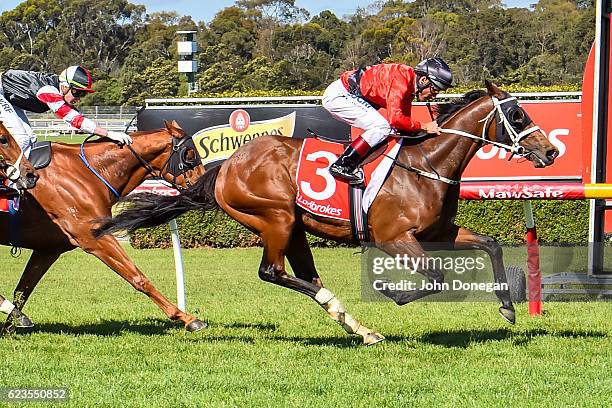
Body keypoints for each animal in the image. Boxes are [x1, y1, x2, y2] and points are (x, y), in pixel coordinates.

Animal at [1, 119, 208, 334]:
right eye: (189, 155)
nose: (204, 189)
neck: (88, 173)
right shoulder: (94, 237)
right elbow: (138, 277)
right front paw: (188, 319)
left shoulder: (49, 249)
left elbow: (23, 290)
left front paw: (9, 328)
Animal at [94, 82, 560, 344]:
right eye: (517, 114)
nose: (552, 151)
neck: (427, 163)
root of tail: (225, 166)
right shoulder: (393, 238)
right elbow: (437, 278)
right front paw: (392, 292)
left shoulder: (437, 233)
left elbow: (491, 245)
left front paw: (508, 308)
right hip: (276, 218)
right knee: (273, 272)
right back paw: (341, 310)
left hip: (295, 227)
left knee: (304, 274)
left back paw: (357, 326)